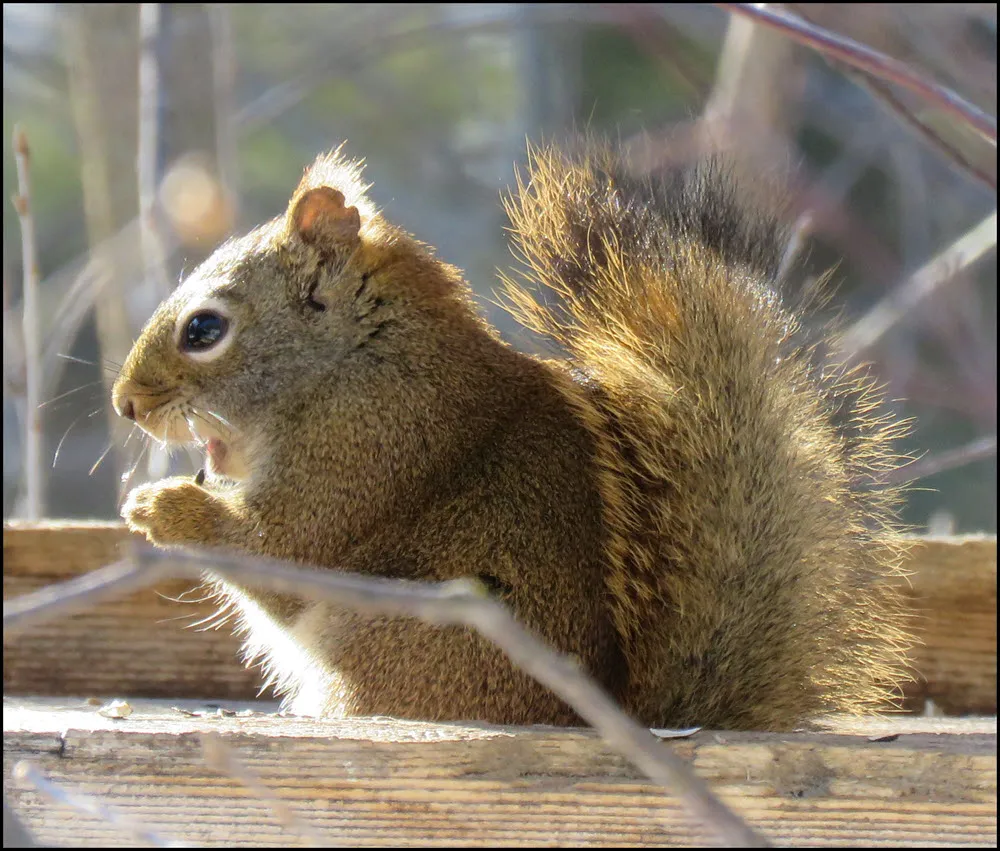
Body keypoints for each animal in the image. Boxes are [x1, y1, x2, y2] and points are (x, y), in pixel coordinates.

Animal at [111, 141, 916, 732]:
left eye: (204, 329)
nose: (125, 404)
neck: (351, 360)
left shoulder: (366, 448)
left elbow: (281, 548)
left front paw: (161, 508)